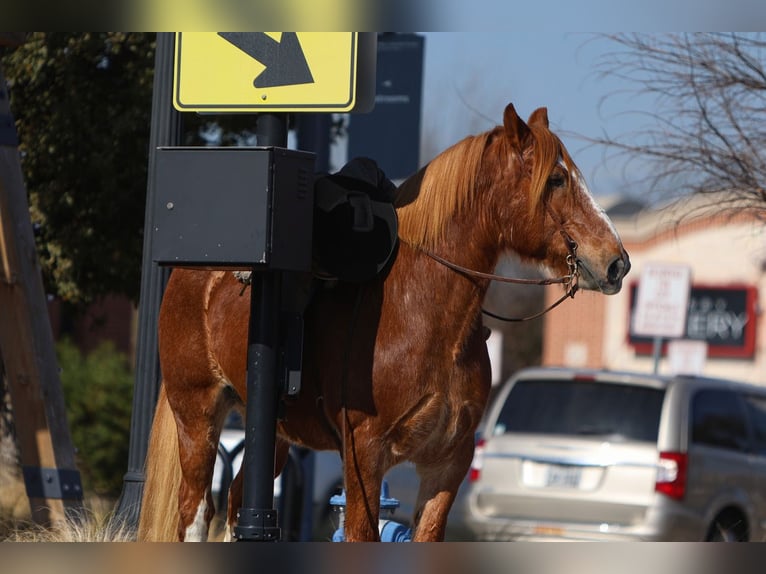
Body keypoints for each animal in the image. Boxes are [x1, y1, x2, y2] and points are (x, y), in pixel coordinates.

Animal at [136, 104, 632, 544]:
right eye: (556, 179)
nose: (617, 263)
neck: (427, 317)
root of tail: (193, 271)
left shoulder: (447, 464)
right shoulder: (364, 457)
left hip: (271, 436)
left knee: (240, 504)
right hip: (196, 415)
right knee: (196, 511)